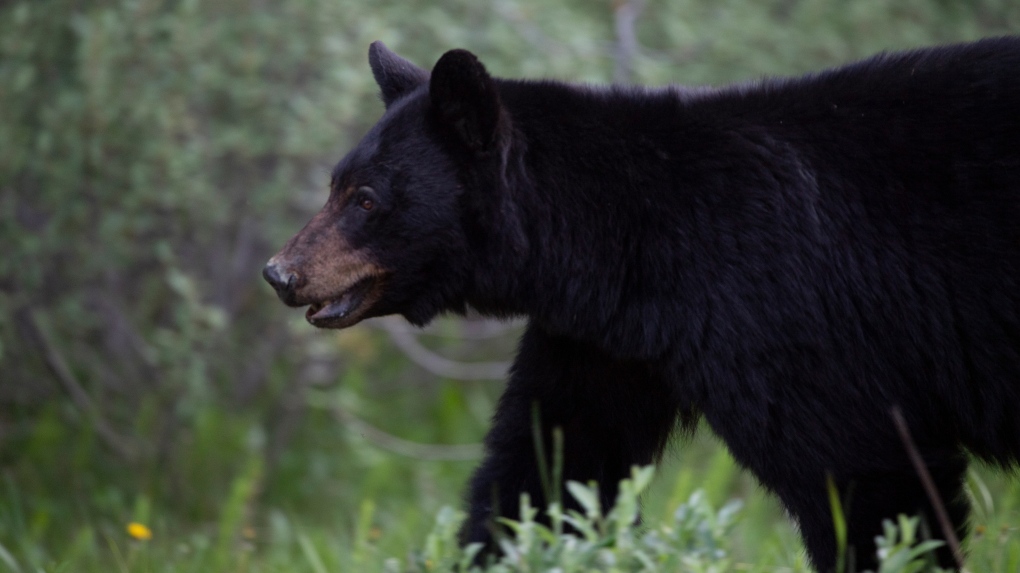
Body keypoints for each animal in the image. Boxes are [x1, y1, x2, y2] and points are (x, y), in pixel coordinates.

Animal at [265, 37, 1020, 566]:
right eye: (335, 183)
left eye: (367, 199)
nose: (280, 272)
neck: (631, 241)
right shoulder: (605, 343)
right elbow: (551, 468)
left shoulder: (782, 309)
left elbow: (864, 473)